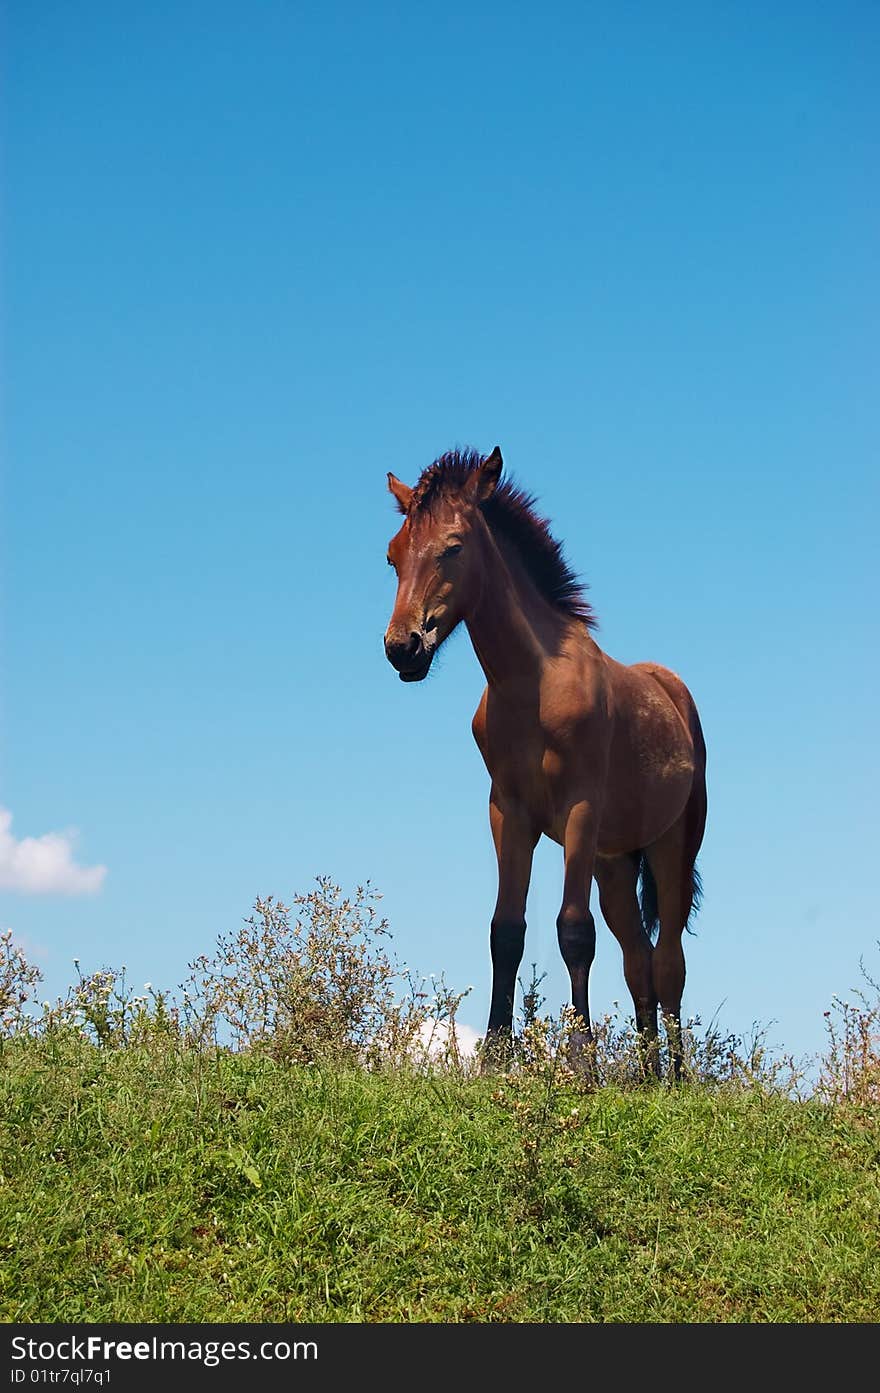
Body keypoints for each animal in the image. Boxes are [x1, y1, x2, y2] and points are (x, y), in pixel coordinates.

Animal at [384, 448, 707, 1075]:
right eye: (393, 554)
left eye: (453, 546)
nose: (402, 647)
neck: (532, 684)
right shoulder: (508, 812)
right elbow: (506, 929)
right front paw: (494, 1055)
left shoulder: (579, 808)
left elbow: (573, 930)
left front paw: (581, 1062)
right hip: (613, 863)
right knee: (638, 962)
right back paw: (648, 1077)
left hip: (670, 847)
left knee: (668, 961)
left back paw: (678, 1079)